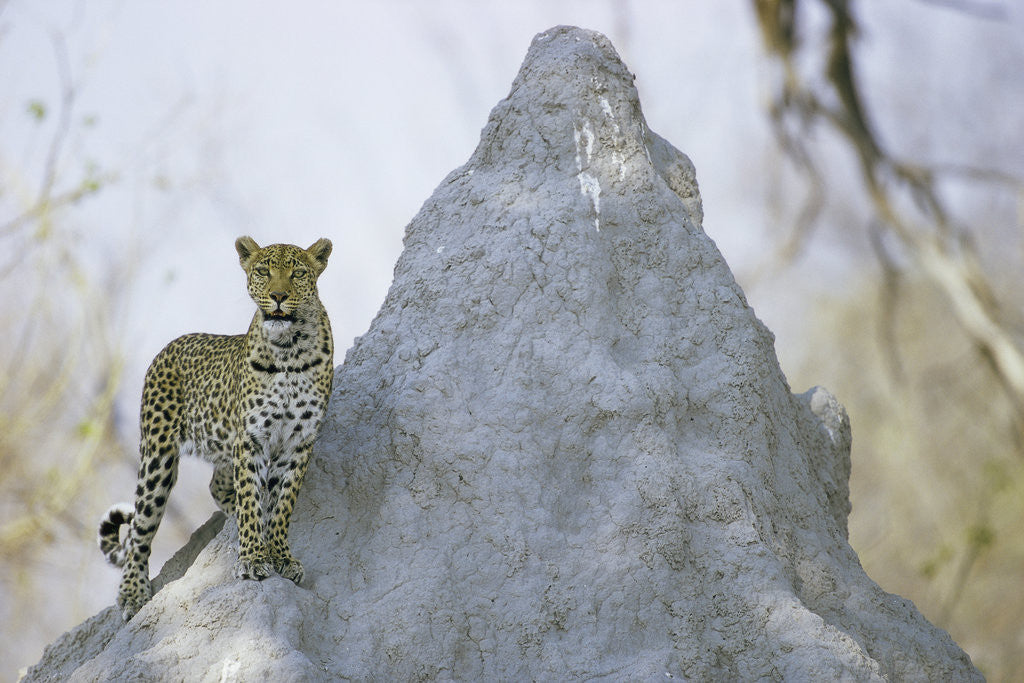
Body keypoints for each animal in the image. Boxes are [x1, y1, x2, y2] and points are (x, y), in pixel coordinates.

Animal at [98, 236, 334, 621]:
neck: (289, 350)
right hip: (157, 456)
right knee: (140, 529)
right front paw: (252, 558)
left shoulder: (298, 442)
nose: (278, 295)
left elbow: (282, 504)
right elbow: (253, 500)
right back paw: (133, 593)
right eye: (263, 271)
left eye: (298, 274)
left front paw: (281, 555)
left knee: (217, 485)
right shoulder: (251, 439)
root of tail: (171, 344)